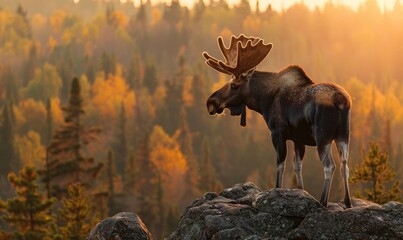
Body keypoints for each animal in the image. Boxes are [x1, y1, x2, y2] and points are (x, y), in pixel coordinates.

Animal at [204, 34, 352, 208]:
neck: (263, 101)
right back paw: (348, 202)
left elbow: (280, 164)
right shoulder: (297, 138)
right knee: (344, 165)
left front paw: (277, 190)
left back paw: (323, 201)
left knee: (329, 166)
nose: (211, 102)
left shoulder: (277, 132)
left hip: (323, 138)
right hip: (343, 136)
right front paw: (301, 191)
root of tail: (341, 101)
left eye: (234, 85)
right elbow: (297, 165)